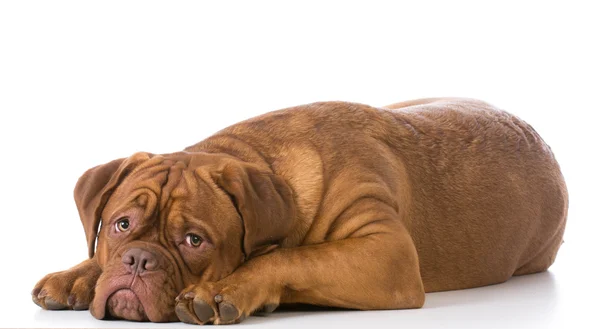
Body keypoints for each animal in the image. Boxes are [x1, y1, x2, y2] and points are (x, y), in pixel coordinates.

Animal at [31, 97, 568, 322]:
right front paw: (76, 275)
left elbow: (290, 257)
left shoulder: (387, 253)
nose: (139, 260)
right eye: (121, 225)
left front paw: (228, 290)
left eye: (194, 240)